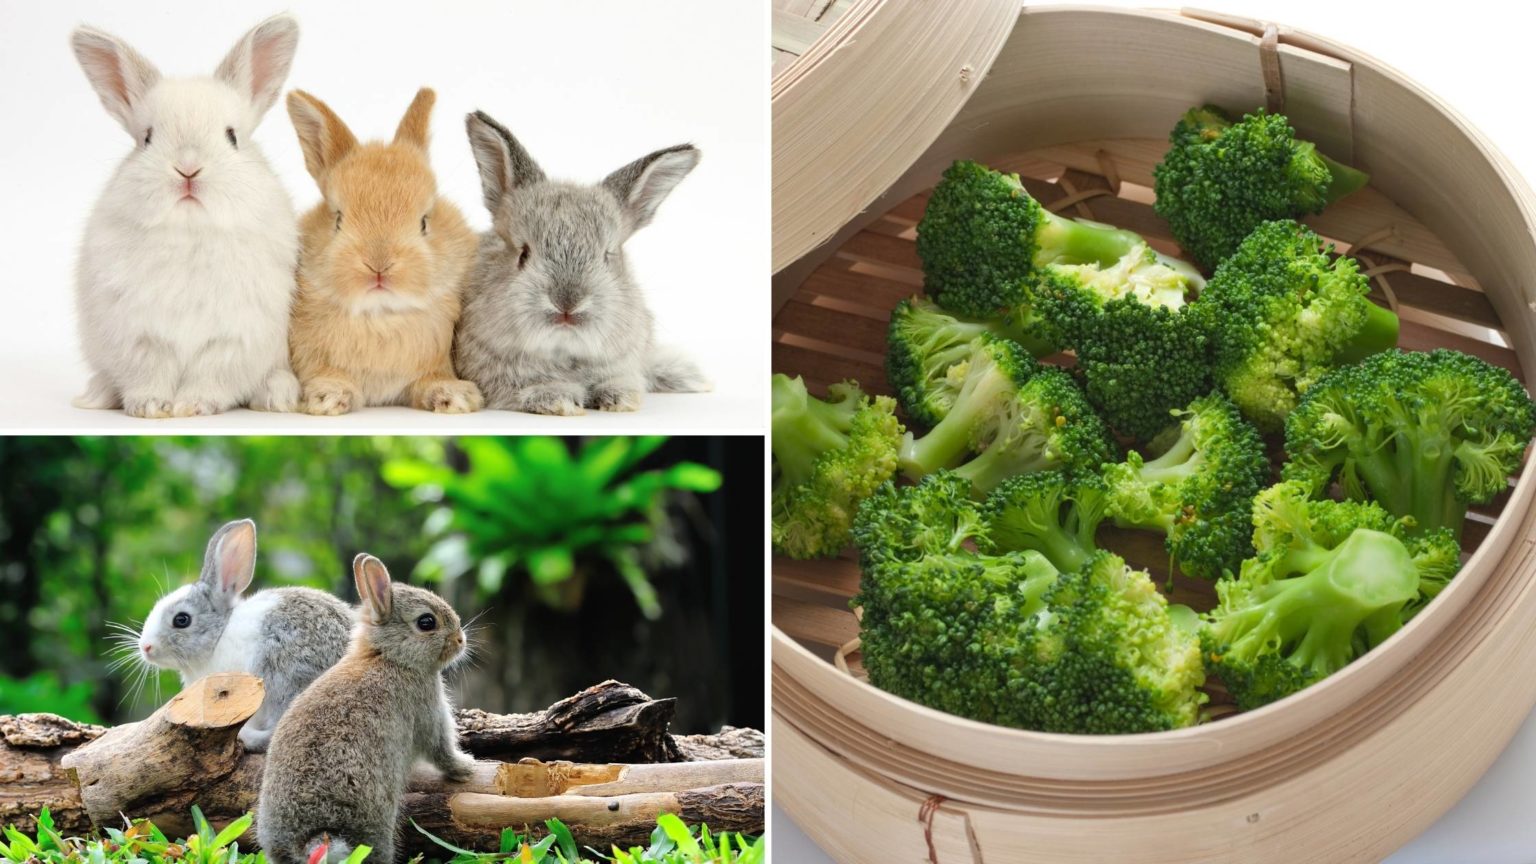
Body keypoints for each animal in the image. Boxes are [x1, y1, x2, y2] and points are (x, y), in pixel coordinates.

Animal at [69, 16, 303, 418]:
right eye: (147, 138)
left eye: (232, 137)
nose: (188, 168)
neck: (192, 232)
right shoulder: (138, 333)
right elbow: (150, 370)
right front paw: (151, 407)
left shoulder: (234, 336)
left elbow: (212, 374)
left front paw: (192, 405)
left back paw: (278, 396)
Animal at [258, 553, 474, 864]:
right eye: (426, 622)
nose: (460, 640)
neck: (388, 657)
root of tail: (312, 838)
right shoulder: (428, 709)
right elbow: (441, 749)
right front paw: (466, 768)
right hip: (375, 825)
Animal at [285, 88, 484, 415]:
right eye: (337, 219)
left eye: (424, 222)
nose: (379, 265)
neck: (381, 316)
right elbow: (325, 373)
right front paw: (329, 396)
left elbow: (432, 378)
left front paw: (454, 395)